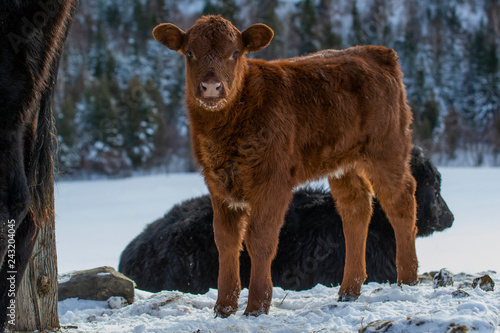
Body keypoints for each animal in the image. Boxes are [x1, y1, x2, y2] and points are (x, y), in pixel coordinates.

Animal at [152, 15, 418, 316]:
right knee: (356, 209)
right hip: (344, 163)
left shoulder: (273, 182)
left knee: (401, 203)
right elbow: (226, 240)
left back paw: (407, 280)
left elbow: (260, 239)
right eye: (189, 53)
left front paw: (256, 305)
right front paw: (224, 306)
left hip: (387, 149)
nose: (211, 87)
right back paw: (349, 290)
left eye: (234, 53)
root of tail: (376, 52)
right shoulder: (218, 184)